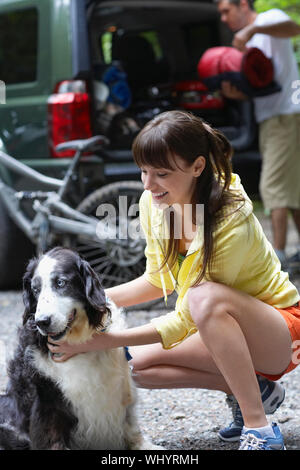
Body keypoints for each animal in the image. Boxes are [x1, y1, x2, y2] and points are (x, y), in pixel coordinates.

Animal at [0, 248, 163, 450]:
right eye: (35, 289)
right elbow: (51, 436)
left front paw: (144, 445)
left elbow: (130, 422)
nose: (42, 322)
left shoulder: (121, 388)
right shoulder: (46, 398)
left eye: (61, 283)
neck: (76, 339)